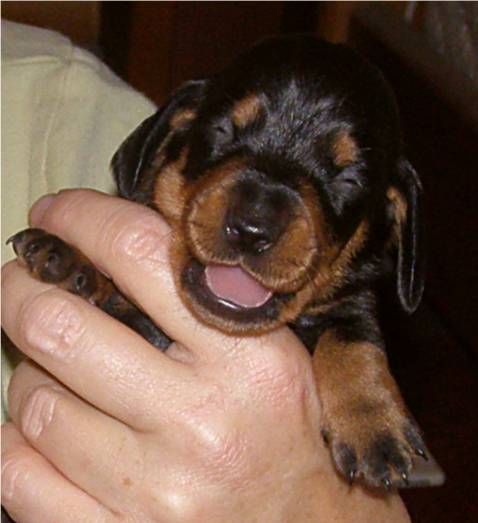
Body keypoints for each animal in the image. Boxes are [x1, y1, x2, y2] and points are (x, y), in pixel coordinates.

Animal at [9, 35, 426, 492]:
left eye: (348, 178)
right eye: (224, 132)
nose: (251, 228)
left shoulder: (352, 301)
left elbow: (356, 339)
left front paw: (375, 426)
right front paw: (69, 259)